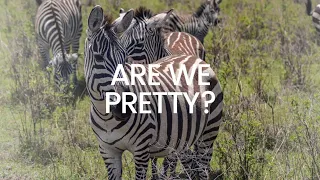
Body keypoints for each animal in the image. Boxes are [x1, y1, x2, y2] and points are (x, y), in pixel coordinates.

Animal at [85, 5, 224, 179]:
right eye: (98, 58)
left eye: (123, 57)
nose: (125, 107)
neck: (106, 116)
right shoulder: (108, 151)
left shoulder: (141, 150)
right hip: (182, 137)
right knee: (189, 163)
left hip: (209, 131)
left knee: (202, 166)